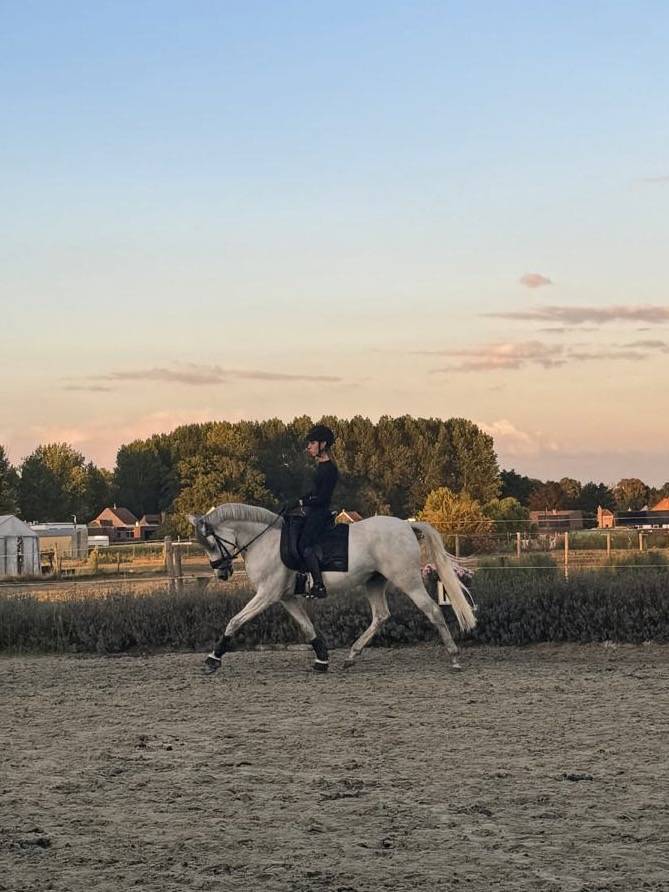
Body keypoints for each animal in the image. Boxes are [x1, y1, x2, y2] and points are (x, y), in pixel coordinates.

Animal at [188, 503, 477, 674]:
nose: (221, 573)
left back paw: (454, 657)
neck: (264, 542)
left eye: (211, 543)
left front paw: (213, 659)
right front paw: (322, 659)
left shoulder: (266, 595)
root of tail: (406, 524)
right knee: (381, 615)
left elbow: (235, 621)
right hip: (374, 581)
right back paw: (351, 655)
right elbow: (307, 628)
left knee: (432, 611)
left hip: (407, 579)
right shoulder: (285, 598)